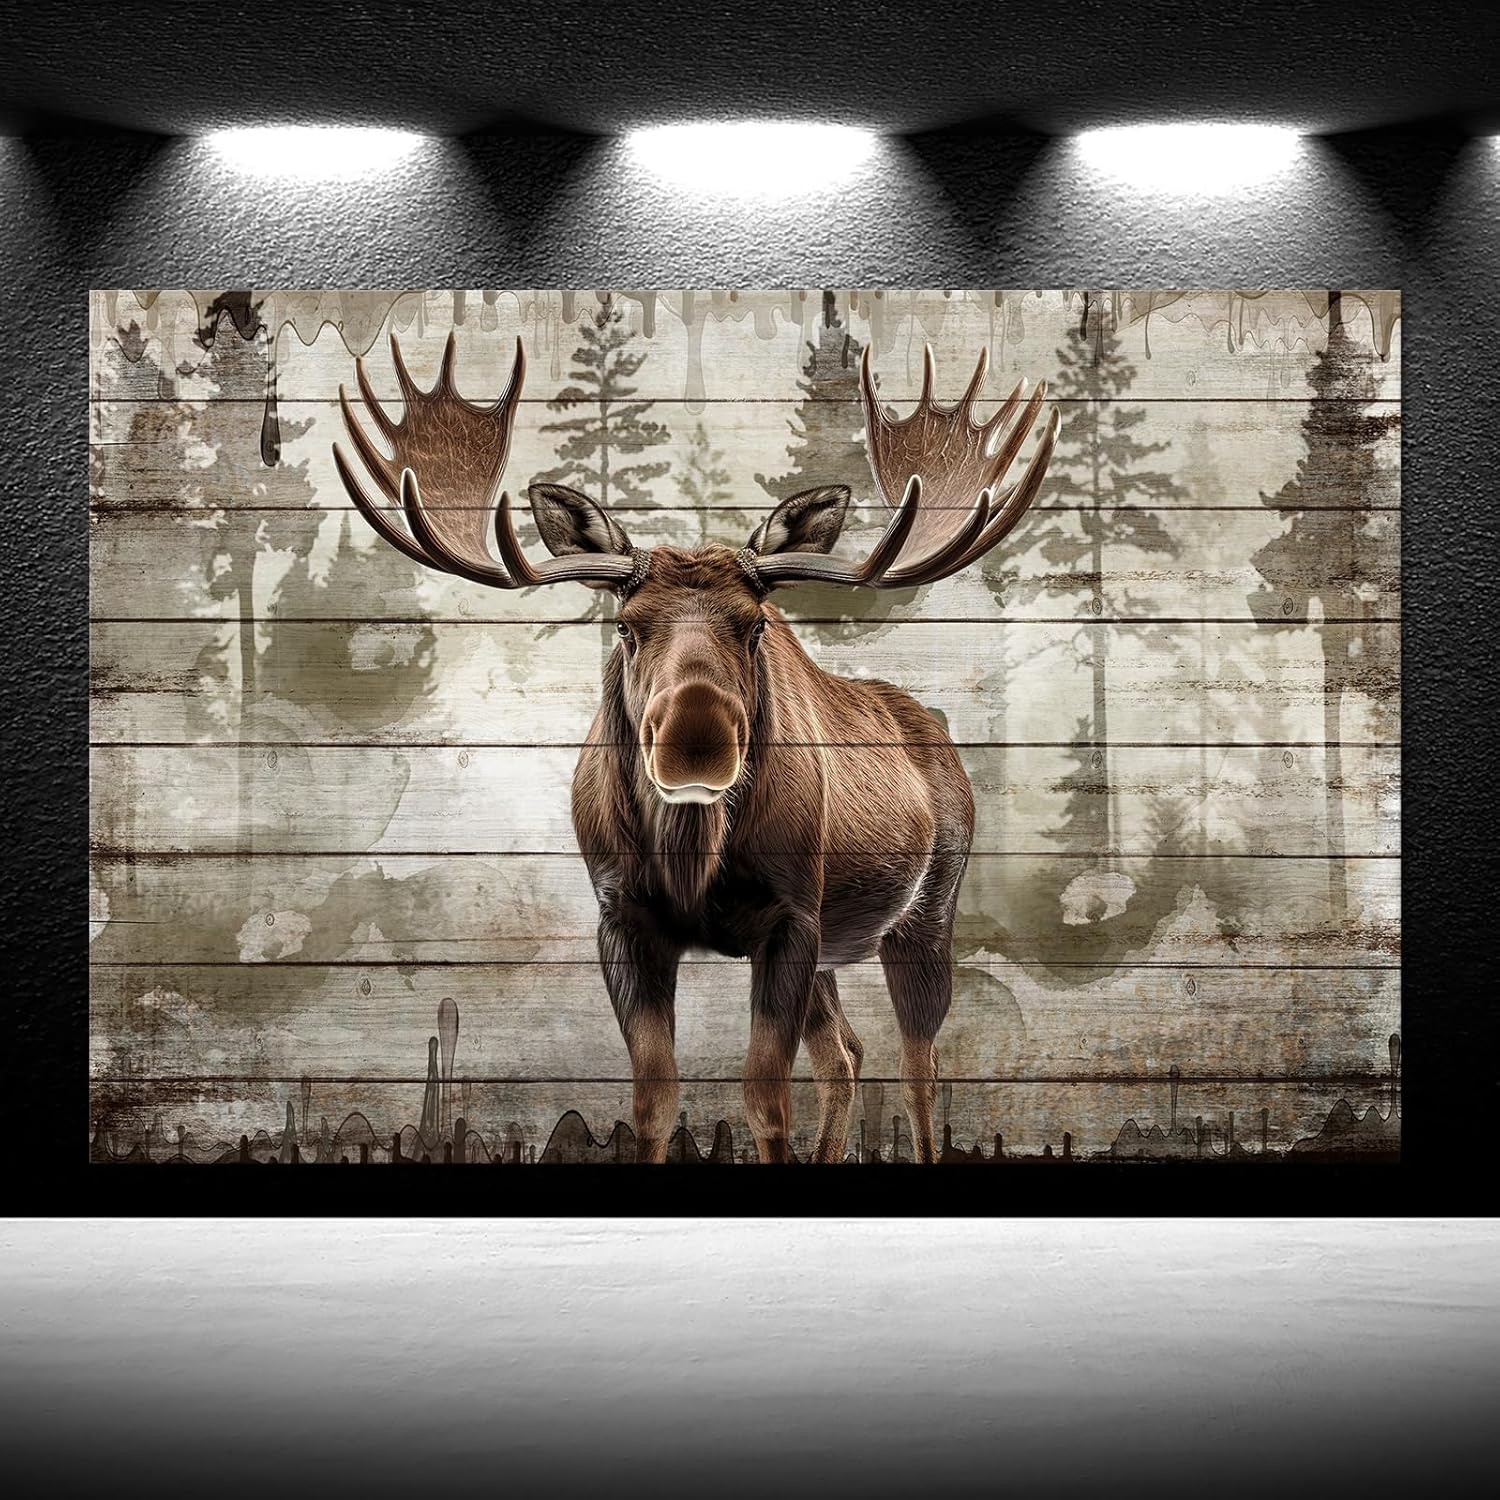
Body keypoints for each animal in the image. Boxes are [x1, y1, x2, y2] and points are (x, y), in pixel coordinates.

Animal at [334, 325, 1058, 1163]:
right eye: (624, 625)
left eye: (755, 624)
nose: (695, 747)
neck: (691, 856)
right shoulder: (624, 920)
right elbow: (655, 1097)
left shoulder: (791, 918)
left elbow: (766, 1097)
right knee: (846, 1056)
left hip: (926, 912)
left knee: (919, 1065)